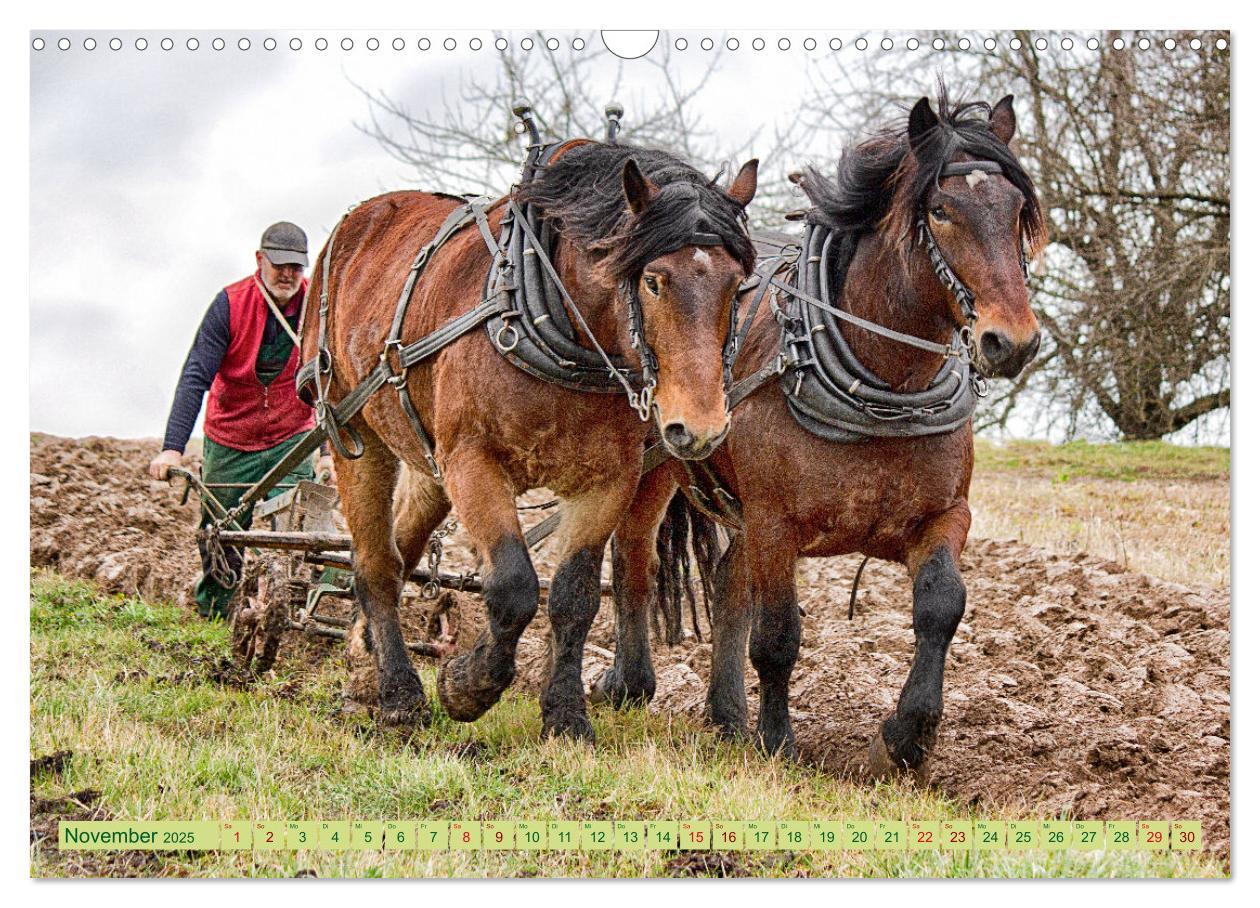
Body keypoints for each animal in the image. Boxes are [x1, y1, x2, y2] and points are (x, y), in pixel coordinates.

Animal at [303, 139, 756, 735]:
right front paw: (465, 687)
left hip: (427, 456)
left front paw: (565, 716)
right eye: (654, 280)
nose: (700, 427)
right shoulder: (472, 462)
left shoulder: (608, 481)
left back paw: (363, 656)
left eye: (736, 285)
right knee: (375, 564)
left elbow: (574, 596)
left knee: (402, 547)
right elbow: (514, 587)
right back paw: (400, 694)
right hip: (353, 431)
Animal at [594, 90, 1048, 770]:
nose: (1011, 341)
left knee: (726, 585)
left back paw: (726, 716)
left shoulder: (945, 515)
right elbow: (778, 634)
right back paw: (628, 684)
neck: (886, 391)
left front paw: (905, 737)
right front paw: (779, 742)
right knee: (634, 557)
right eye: (940, 210)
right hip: (659, 465)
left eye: (1018, 209)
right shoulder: (776, 522)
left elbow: (942, 604)